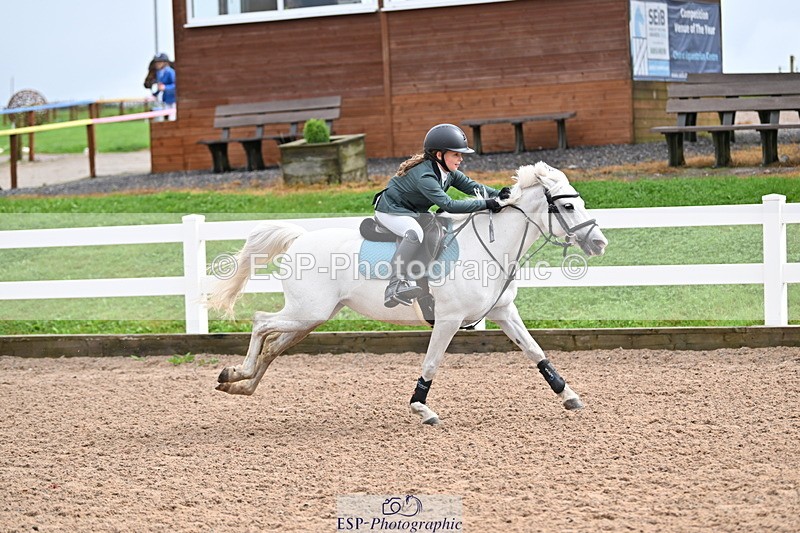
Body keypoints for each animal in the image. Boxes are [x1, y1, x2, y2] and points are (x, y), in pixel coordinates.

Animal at [207, 162, 608, 424]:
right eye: (567, 205)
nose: (600, 243)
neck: (491, 247)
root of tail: (300, 237)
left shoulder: (503, 313)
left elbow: (536, 352)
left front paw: (568, 394)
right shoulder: (447, 320)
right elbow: (431, 363)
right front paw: (421, 407)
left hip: (311, 317)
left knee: (273, 344)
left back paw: (241, 384)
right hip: (307, 312)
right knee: (261, 323)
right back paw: (237, 373)